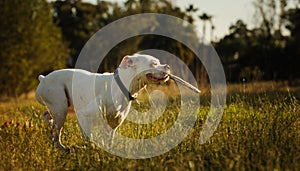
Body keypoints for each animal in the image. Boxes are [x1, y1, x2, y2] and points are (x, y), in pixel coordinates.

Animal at [35, 53, 170, 152]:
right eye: (154, 63)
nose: (168, 66)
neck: (120, 86)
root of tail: (43, 78)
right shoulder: (84, 116)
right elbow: (89, 138)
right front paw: (91, 150)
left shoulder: (113, 123)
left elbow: (109, 140)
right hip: (60, 109)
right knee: (56, 134)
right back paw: (63, 148)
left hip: (58, 109)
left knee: (48, 118)